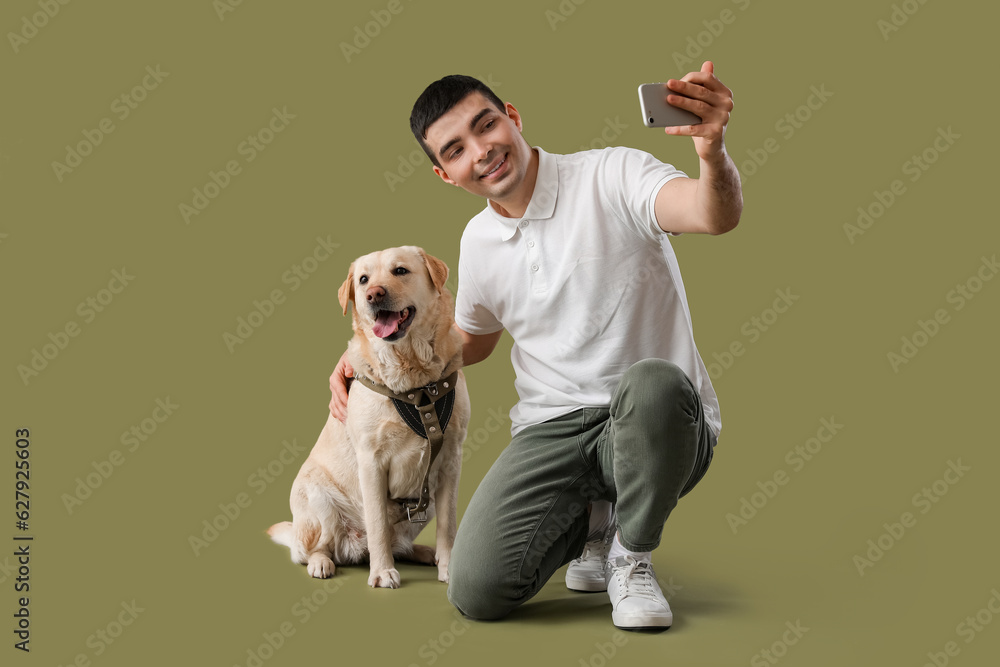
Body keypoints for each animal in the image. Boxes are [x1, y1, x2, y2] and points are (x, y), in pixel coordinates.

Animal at [266, 247, 468, 588]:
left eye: (400, 271)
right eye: (363, 280)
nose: (374, 294)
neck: (414, 383)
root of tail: (354, 548)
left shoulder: (450, 461)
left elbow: (449, 525)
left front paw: (449, 567)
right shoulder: (371, 462)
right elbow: (377, 525)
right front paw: (382, 572)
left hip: (421, 507)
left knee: (400, 541)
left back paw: (423, 553)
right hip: (317, 498)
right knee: (312, 549)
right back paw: (322, 563)